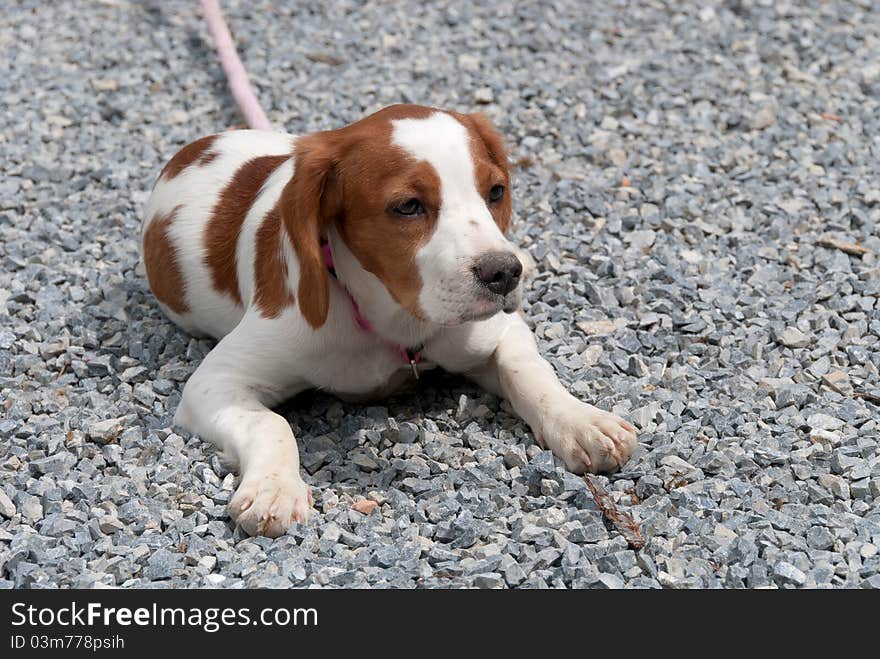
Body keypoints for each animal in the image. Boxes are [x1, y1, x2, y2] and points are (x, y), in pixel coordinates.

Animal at [144, 103, 640, 536]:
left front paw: (582, 421)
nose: (504, 273)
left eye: (496, 192)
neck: (393, 318)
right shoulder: (215, 383)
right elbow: (272, 424)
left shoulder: (494, 330)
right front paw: (275, 490)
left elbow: (530, 371)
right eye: (408, 206)